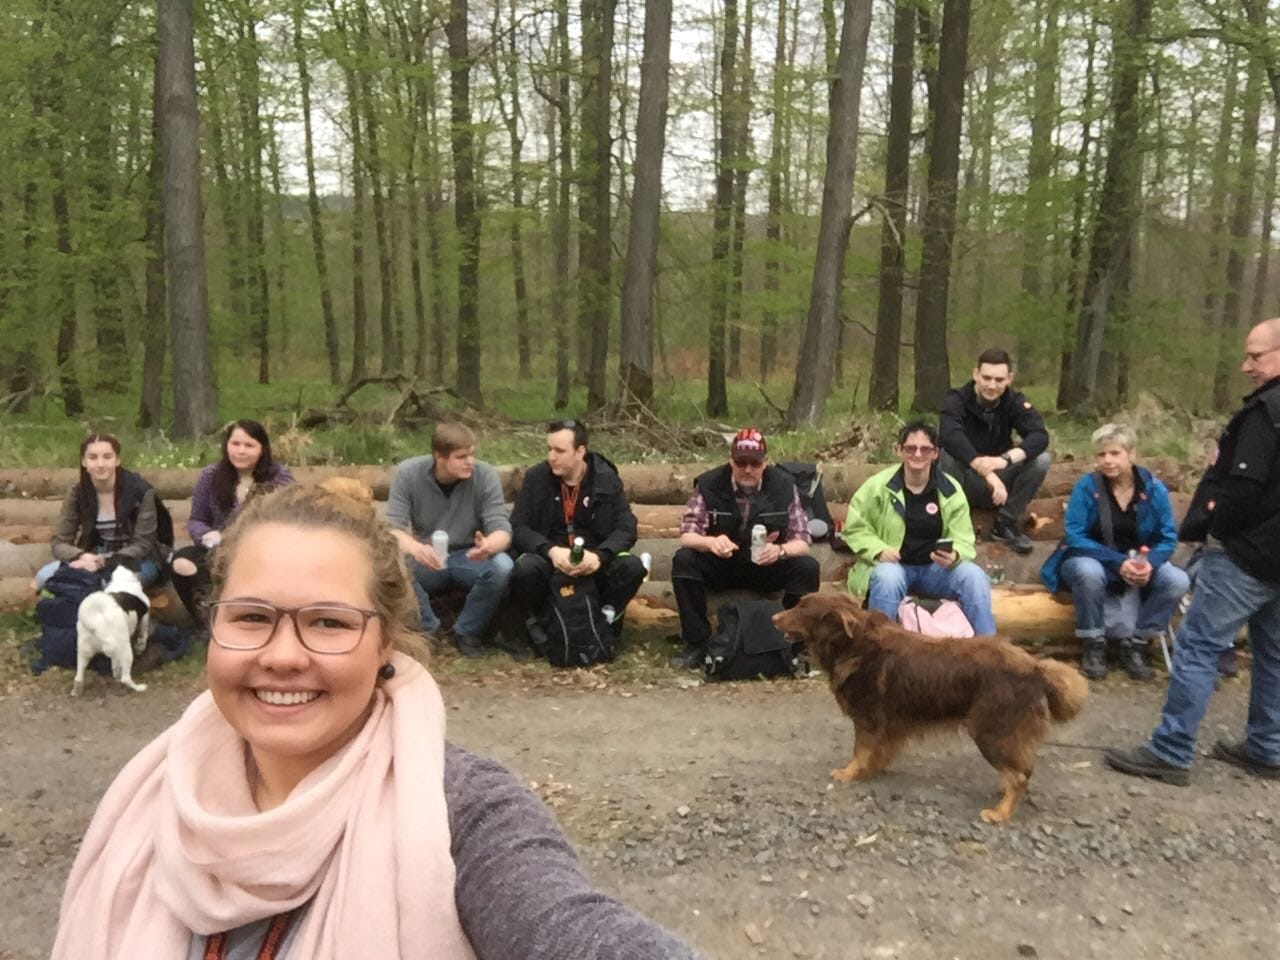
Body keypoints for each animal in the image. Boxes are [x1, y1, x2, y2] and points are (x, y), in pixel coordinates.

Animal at [72, 562, 151, 696]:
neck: (122, 580)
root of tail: (96, 622)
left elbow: (115, 665)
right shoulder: (145, 616)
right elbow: (144, 635)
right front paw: (141, 647)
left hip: (84, 651)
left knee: (79, 676)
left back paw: (76, 690)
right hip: (125, 650)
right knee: (125, 678)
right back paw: (138, 687)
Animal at [773, 593, 1088, 823]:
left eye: (802, 607)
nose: (774, 617)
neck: (853, 643)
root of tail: (1036, 668)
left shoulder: (867, 718)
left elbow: (860, 751)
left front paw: (849, 773)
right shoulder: (888, 724)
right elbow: (878, 751)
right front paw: (873, 769)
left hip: (989, 729)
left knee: (1020, 776)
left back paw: (999, 813)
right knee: (1019, 768)